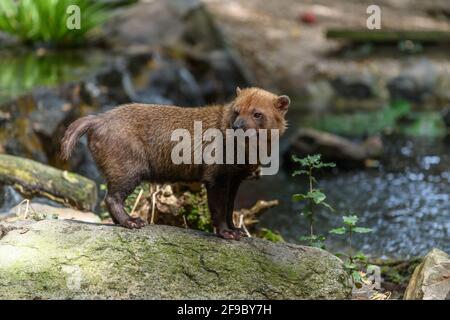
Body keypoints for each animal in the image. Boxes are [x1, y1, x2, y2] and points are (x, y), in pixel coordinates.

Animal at [61, 87, 290, 240]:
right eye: (236, 110)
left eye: (257, 113)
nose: (237, 126)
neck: (245, 154)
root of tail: (99, 118)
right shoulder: (216, 176)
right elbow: (218, 207)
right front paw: (227, 233)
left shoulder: (235, 178)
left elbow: (230, 207)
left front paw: (237, 230)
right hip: (128, 168)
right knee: (112, 197)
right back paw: (132, 221)